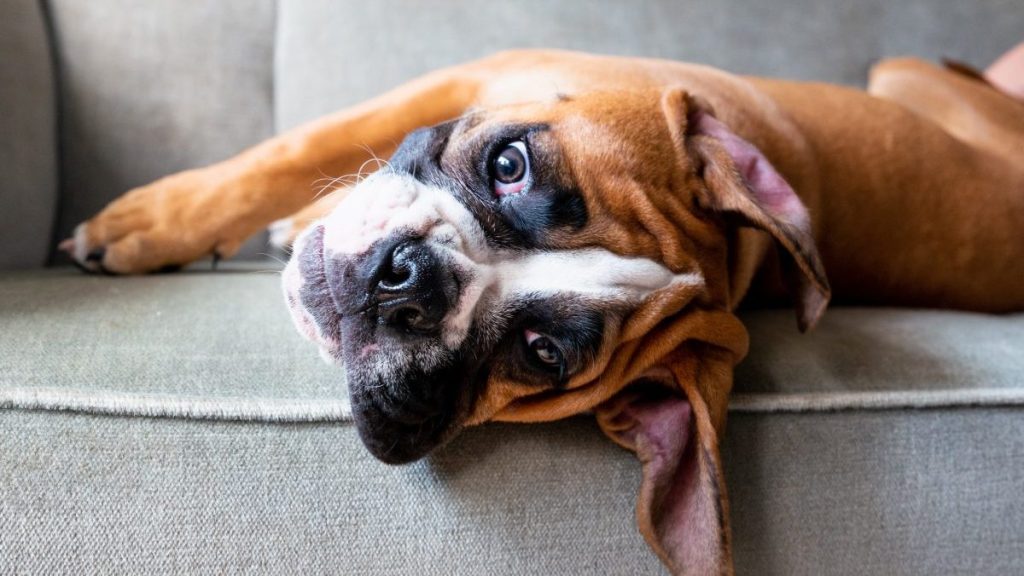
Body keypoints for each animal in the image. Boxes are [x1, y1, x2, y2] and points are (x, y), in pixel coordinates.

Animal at [61, 51, 1024, 569]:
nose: (412, 279)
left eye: (540, 352)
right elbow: (289, 151)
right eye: (510, 165)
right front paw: (152, 223)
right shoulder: (463, 77)